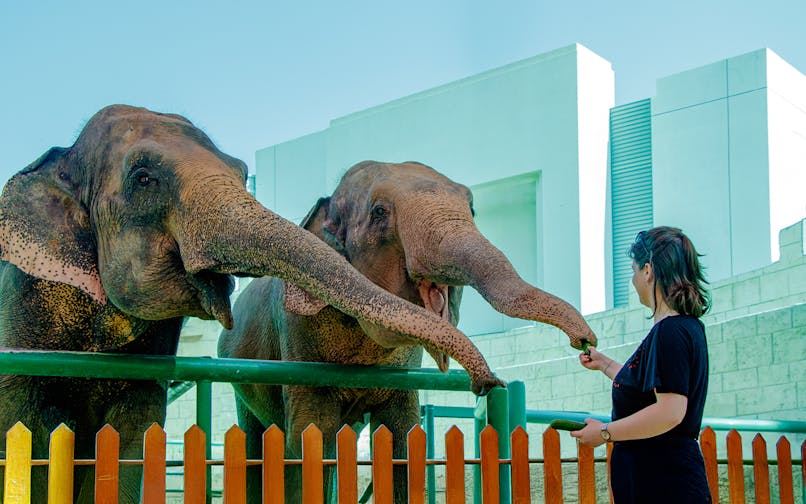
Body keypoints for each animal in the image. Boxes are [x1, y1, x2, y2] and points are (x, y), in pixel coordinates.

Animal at [218, 160, 599, 503]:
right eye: (379, 212)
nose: (585, 342)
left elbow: (401, 435)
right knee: (257, 439)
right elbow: (309, 434)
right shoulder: (297, 338)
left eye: (472, 208)